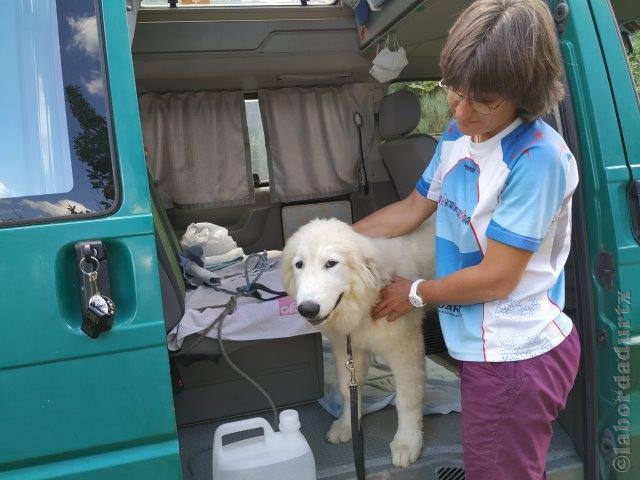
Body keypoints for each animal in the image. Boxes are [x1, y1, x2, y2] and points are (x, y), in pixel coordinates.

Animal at [284, 218, 438, 468]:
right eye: (299, 264)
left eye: (331, 263)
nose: (307, 309)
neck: (367, 301)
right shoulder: (348, 348)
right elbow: (348, 392)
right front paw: (347, 425)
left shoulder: (405, 348)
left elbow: (407, 398)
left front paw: (407, 443)